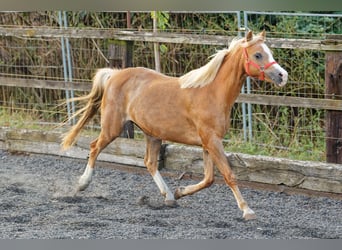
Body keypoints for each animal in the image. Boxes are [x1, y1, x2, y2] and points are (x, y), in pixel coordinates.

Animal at [62, 30, 288, 219]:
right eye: (258, 55)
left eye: (269, 52)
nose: (282, 75)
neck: (212, 93)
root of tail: (115, 74)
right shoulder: (212, 141)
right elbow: (228, 175)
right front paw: (247, 210)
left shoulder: (207, 144)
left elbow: (209, 179)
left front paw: (180, 192)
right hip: (112, 128)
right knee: (94, 148)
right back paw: (82, 184)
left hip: (152, 134)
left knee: (150, 163)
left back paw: (169, 196)